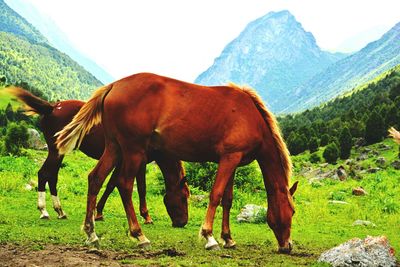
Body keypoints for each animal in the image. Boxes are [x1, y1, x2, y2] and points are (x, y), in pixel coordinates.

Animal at [7, 87, 189, 227]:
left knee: (51, 176)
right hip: (56, 152)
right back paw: (44, 210)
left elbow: (111, 184)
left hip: (59, 153)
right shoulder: (139, 161)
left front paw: (98, 212)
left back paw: (60, 211)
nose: (183, 223)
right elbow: (140, 188)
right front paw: (146, 216)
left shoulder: (121, 160)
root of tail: (52, 107)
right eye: (184, 198)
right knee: (45, 174)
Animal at [55, 73, 296, 253]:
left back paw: (91, 233)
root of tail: (114, 86)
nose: (287, 246)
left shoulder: (232, 161)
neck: (250, 116)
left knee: (95, 178)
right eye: (292, 211)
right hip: (133, 151)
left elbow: (227, 200)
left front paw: (228, 238)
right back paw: (139, 235)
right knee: (124, 185)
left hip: (114, 148)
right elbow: (216, 195)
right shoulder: (229, 159)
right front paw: (209, 237)